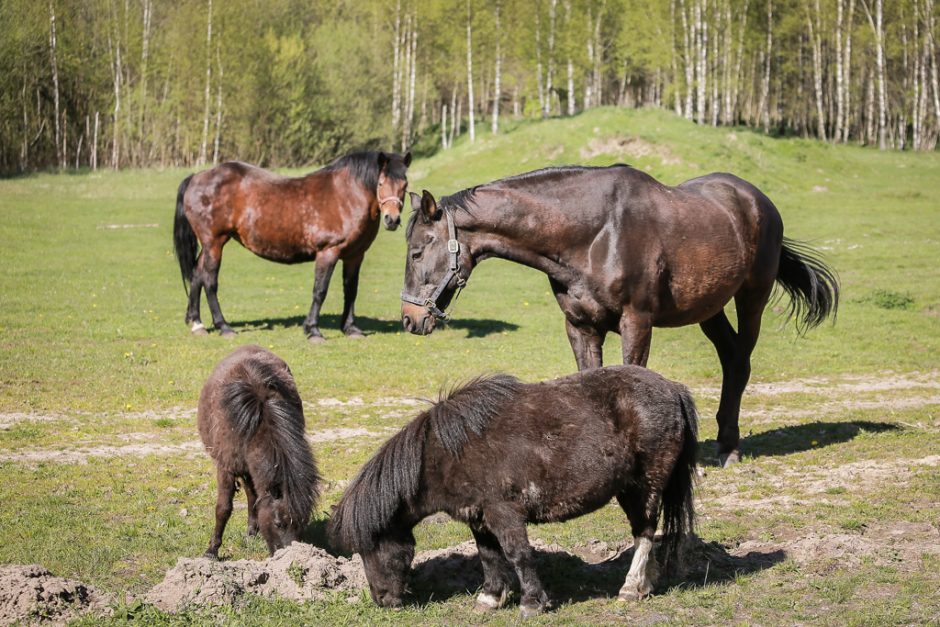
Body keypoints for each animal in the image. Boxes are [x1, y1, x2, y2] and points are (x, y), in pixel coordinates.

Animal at [176, 151, 412, 344]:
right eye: (381, 183)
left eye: (405, 185)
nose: (392, 219)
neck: (347, 195)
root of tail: (197, 177)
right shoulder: (328, 252)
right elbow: (320, 291)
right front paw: (313, 330)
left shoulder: (355, 256)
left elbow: (351, 290)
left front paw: (350, 328)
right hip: (214, 243)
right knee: (209, 281)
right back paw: (223, 327)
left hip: (209, 245)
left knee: (196, 275)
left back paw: (197, 324)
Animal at [196, 346, 322, 556]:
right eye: (279, 523)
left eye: (302, 523)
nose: (288, 556)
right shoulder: (226, 467)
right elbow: (223, 508)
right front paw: (212, 550)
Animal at [330, 368, 696, 620]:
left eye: (373, 546)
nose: (381, 600)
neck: (448, 452)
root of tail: (672, 388)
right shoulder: (478, 517)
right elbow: (489, 557)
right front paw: (490, 598)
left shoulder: (504, 514)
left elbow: (518, 555)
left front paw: (532, 603)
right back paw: (646, 585)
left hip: (645, 487)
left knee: (644, 532)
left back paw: (631, 588)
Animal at [400, 166, 840, 466]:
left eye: (418, 251)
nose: (409, 318)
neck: (594, 234)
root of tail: (757, 200)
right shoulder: (581, 327)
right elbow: (588, 383)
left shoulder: (636, 323)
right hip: (709, 308)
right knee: (732, 358)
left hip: (752, 298)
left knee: (741, 364)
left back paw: (730, 446)